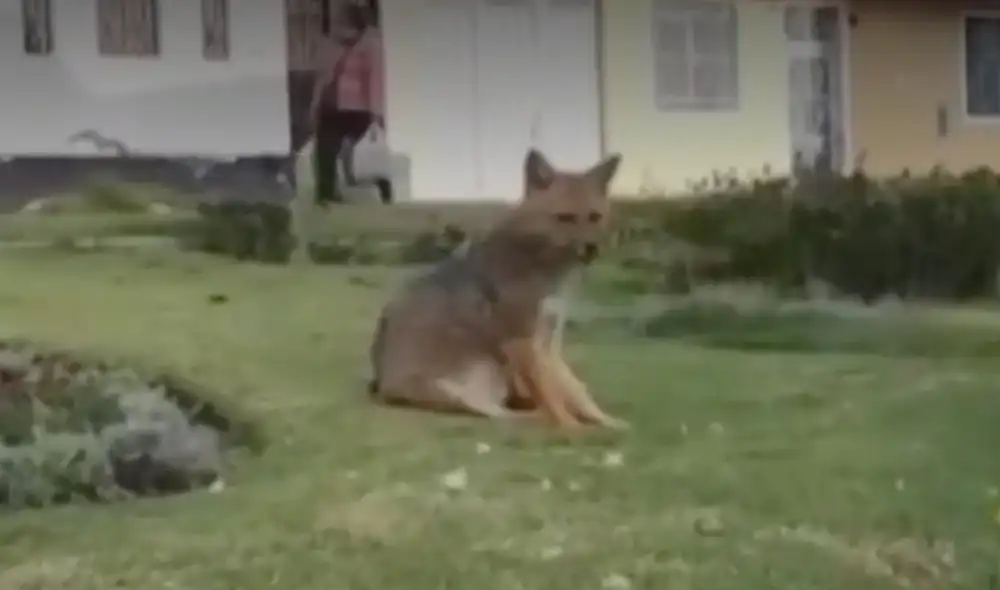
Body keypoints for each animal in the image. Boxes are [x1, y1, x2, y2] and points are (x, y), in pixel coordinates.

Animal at [366, 148, 627, 429]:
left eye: (595, 217)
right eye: (565, 218)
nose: (591, 249)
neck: (540, 263)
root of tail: (380, 384)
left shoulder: (548, 343)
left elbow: (574, 392)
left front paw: (607, 423)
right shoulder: (522, 342)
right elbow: (553, 397)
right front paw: (573, 428)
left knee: (511, 412)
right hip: (475, 380)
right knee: (505, 415)